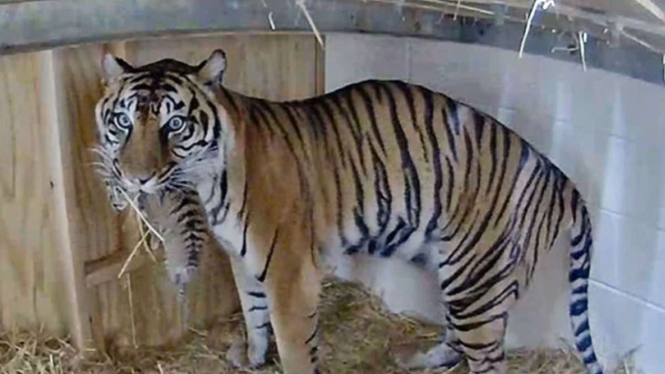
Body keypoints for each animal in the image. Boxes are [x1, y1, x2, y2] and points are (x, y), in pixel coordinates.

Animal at [94, 49, 608, 374]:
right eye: (123, 121)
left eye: (175, 125)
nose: (136, 178)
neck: (210, 178)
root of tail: (559, 176)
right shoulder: (242, 258)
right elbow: (253, 312)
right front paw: (254, 358)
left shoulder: (289, 273)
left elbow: (293, 343)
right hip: (460, 276)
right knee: (459, 340)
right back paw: (415, 360)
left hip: (477, 280)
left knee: (487, 358)